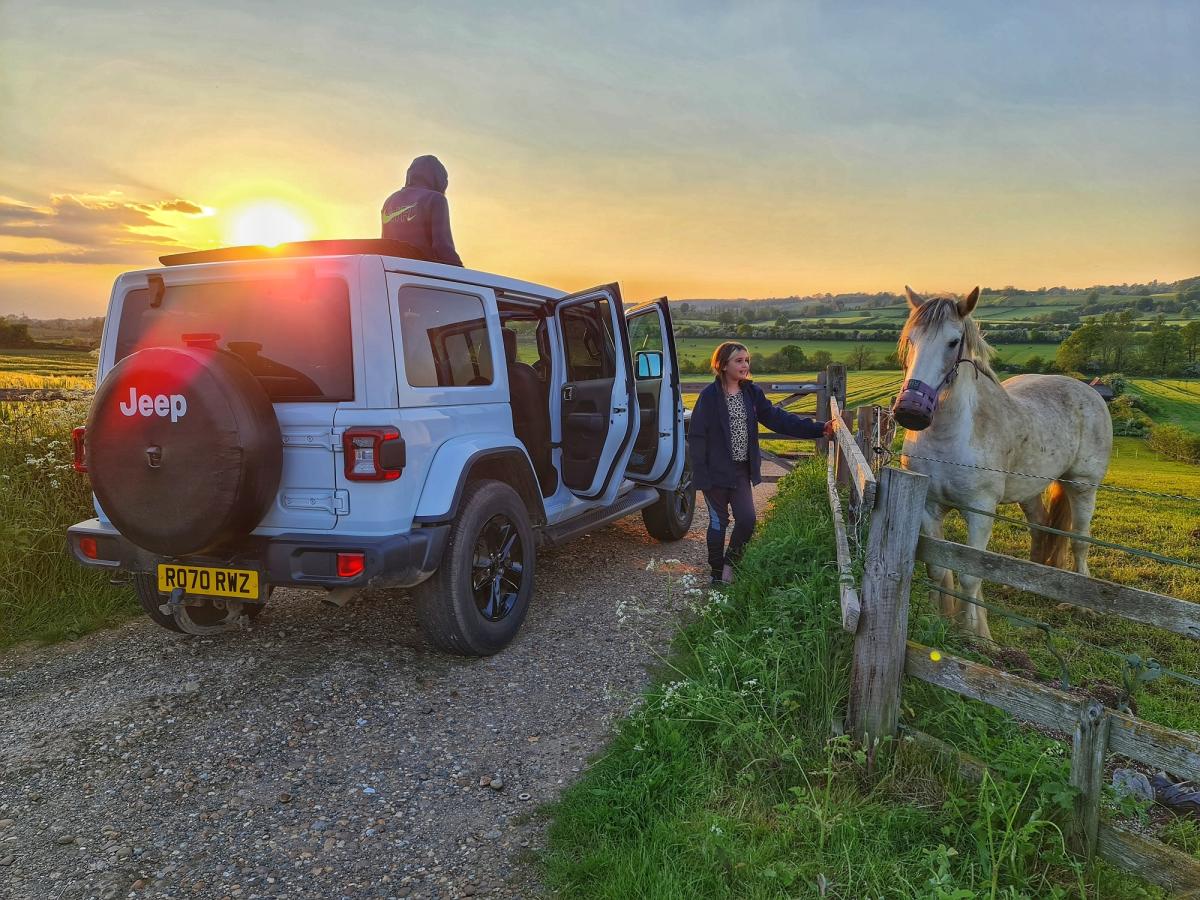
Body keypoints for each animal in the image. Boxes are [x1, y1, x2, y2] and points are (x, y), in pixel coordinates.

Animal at [897, 289, 1108, 643]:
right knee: (1041, 527)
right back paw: (1030, 586)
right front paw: (940, 617)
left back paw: (1083, 606)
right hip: (1031, 491)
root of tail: (1088, 390)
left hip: (1082, 486)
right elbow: (938, 568)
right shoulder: (928, 507)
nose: (911, 410)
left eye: (954, 342)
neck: (950, 438)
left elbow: (970, 575)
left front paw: (975, 634)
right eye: (911, 339)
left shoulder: (980, 511)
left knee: (1080, 539)